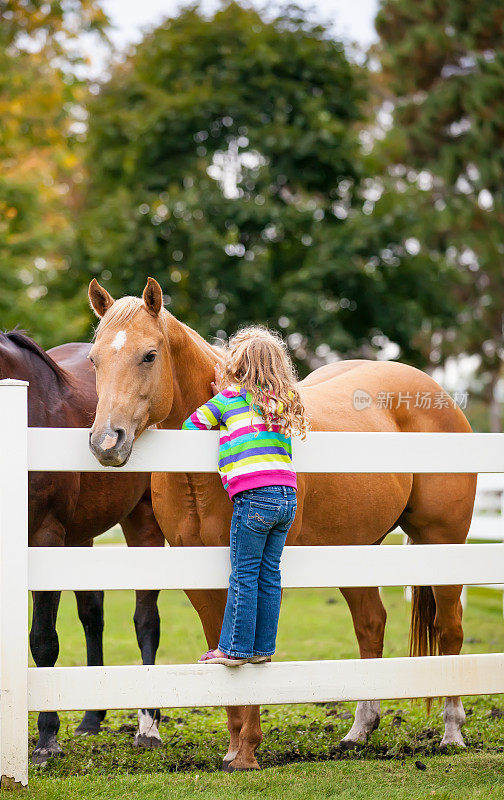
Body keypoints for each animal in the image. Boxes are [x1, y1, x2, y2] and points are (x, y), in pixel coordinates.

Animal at [0, 330, 165, 764]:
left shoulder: (45, 537)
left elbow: (43, 640)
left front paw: (46, 739)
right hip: (81, 536)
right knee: (93, 614)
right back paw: (92, 718)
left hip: (143, 522)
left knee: (146, 619)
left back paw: (149, 722)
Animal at [86, 280, 476, 768]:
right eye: (94, 359)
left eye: (149, 355)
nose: (106, 442)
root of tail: (438, 395)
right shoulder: (199, 574)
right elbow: (223, 644)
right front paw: (234, 746)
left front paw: (247, 751)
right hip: (354, 551)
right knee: (371, 625)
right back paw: (358, 732)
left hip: (442, 543)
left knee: (449, 628)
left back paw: (452, 732)